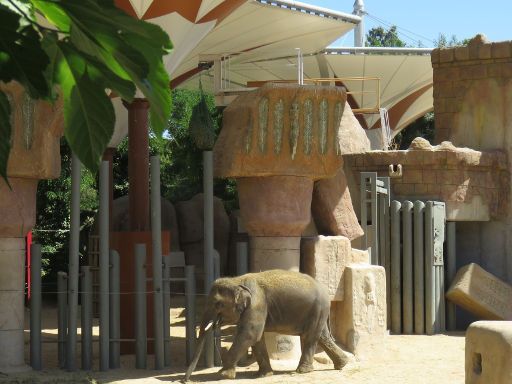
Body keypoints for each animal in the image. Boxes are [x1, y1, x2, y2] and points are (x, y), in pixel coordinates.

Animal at [183, 270, 352, 380]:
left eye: (218, 304)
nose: (185, 380)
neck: (237, 280)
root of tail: (327, 294)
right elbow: (256, 338)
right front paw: (263, 375)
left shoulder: (257, 304)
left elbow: (250, 334)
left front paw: (222, 375)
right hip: (318, 312)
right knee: (322, 337)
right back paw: (342, 364)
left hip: (317, 309)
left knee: (310, 337)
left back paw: (302, 371)